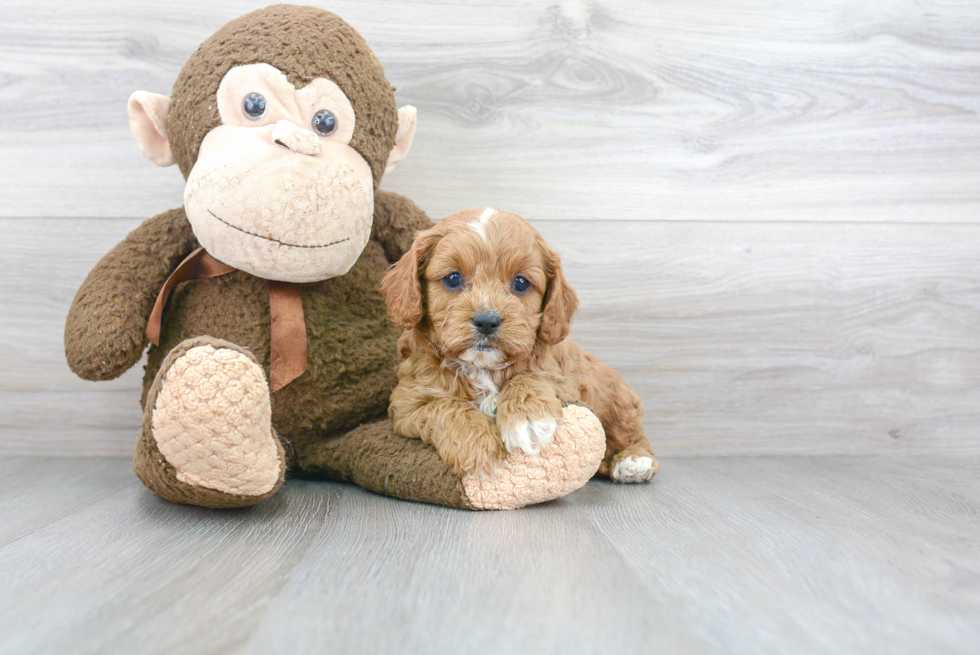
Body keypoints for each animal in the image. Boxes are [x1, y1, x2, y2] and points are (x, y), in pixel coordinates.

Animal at [378, 208, 664, 484]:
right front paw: (478, 446)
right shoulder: (406, 404)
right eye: (453, 279)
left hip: (618, 404)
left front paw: (529, 419)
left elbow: (531, 376)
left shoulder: (565, 381)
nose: (487, 321)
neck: (483, 368)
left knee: (633, 436)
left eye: (521, 282)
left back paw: (635, 462)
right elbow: (444, 407)